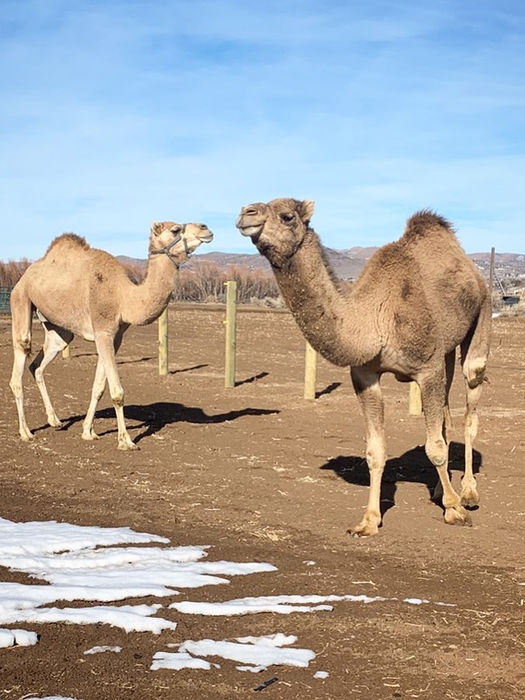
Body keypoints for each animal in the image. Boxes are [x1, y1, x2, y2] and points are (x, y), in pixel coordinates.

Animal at [10, 221, 213, 450]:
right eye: (175, 230)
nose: (205, 228)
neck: (123, 296)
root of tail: (23, 277)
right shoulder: (103, 331)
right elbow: (117, 392)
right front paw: (125, 440)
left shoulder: (115, 337)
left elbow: (98, 388)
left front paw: (88, 432)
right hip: (21, 299)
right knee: (20, 358)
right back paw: (26, 432)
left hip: (58, 329)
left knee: (39, 363)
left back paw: (55, 420)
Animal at [236, 198, 491, 536]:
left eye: (287, 216)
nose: (246, 213)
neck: (374, 321)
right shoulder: (366, 374)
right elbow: (376, 451)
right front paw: (368, 521)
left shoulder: (427, 368)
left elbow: (434, 446)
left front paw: (455, 510)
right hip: (446, 349)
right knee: (447, 414)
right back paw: (439, 490)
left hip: (482, 314)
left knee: (470, 399)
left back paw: (469, 493)